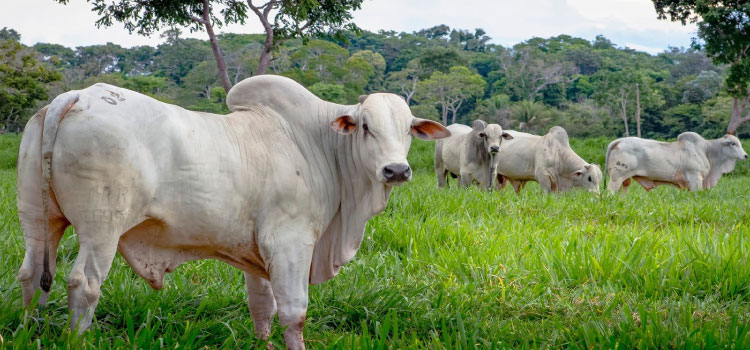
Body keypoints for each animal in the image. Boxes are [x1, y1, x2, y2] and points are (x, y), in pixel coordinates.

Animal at [16, 75, 452, 348]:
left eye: (408, 129)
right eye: (365, 126)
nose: (396, 170)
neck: (318, 144)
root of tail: (75, 96)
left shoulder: (257, 251)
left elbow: (262, 305)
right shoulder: (290, 242)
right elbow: (293, 311)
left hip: (38, 220)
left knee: (32, 275)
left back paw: (25, 331)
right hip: (101, 228)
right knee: (83, 284)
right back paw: (77, 339)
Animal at [608, 132, 748, 193]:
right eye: (733, 143)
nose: (746, 155)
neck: (707, 151)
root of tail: (619, 141)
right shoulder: (695, 178)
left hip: (624, 178)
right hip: (617, 176)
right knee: (611, 190)